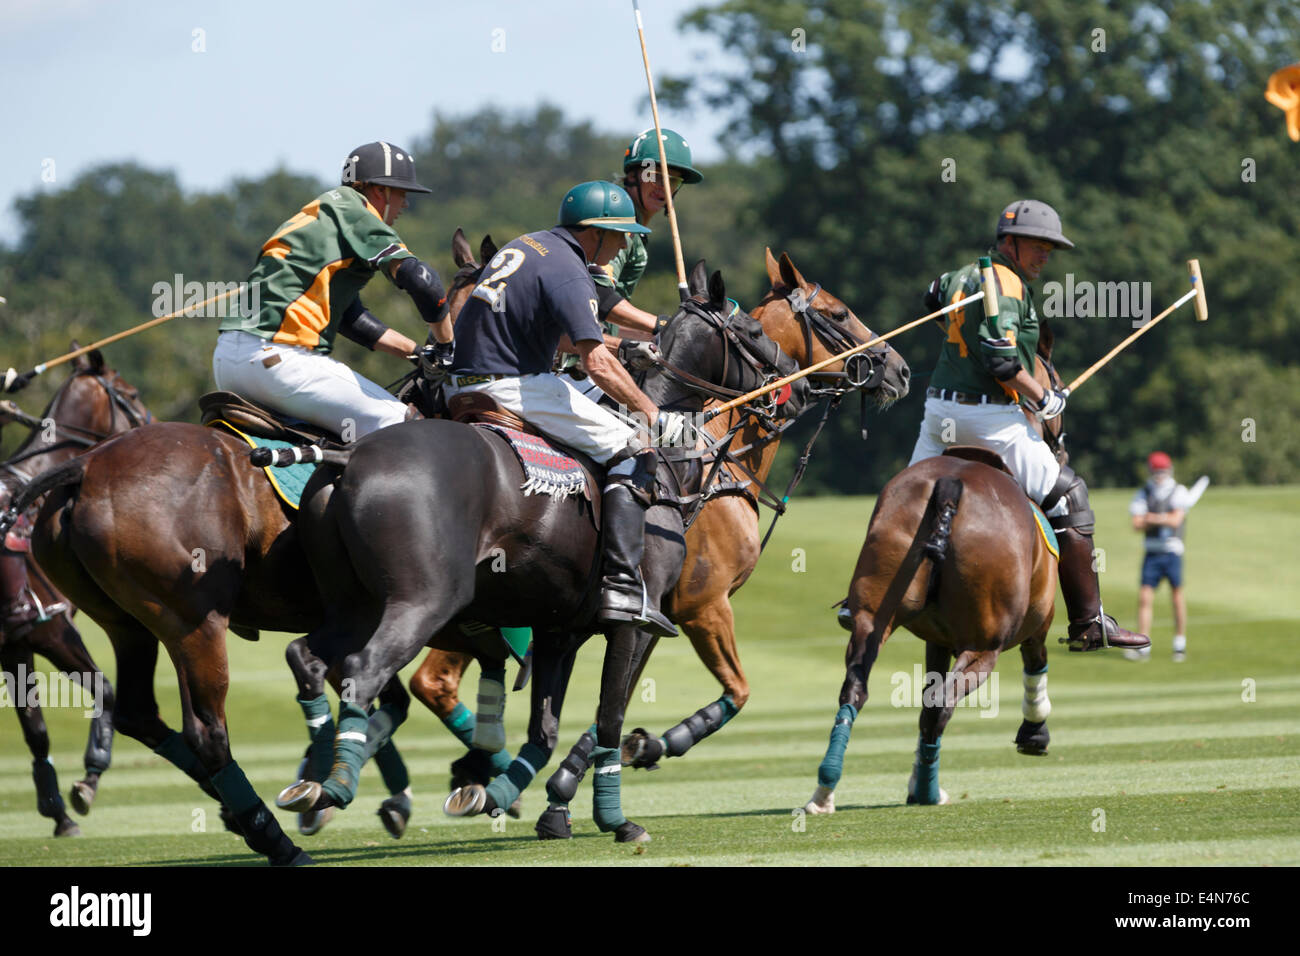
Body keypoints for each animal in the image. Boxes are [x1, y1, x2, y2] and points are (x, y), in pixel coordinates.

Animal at [0, 353, 149, 837]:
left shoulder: (16, 644)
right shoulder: (51, 630)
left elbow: (36, 730)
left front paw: (57, 810)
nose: (153, 423)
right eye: (132, 394)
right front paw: (88, 779)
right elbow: (106, 690)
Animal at [806, 340, 1071, 811]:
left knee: (857, 688)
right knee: (942, 705)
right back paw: (928, 790)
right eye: (1054, 380)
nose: (1063, 450)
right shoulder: (1038, 620)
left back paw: (825, 790)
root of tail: (950, 486)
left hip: (874, 617)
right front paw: (1034, 733)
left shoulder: (937, 638)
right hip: (984, 645)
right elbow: (1035, 664)